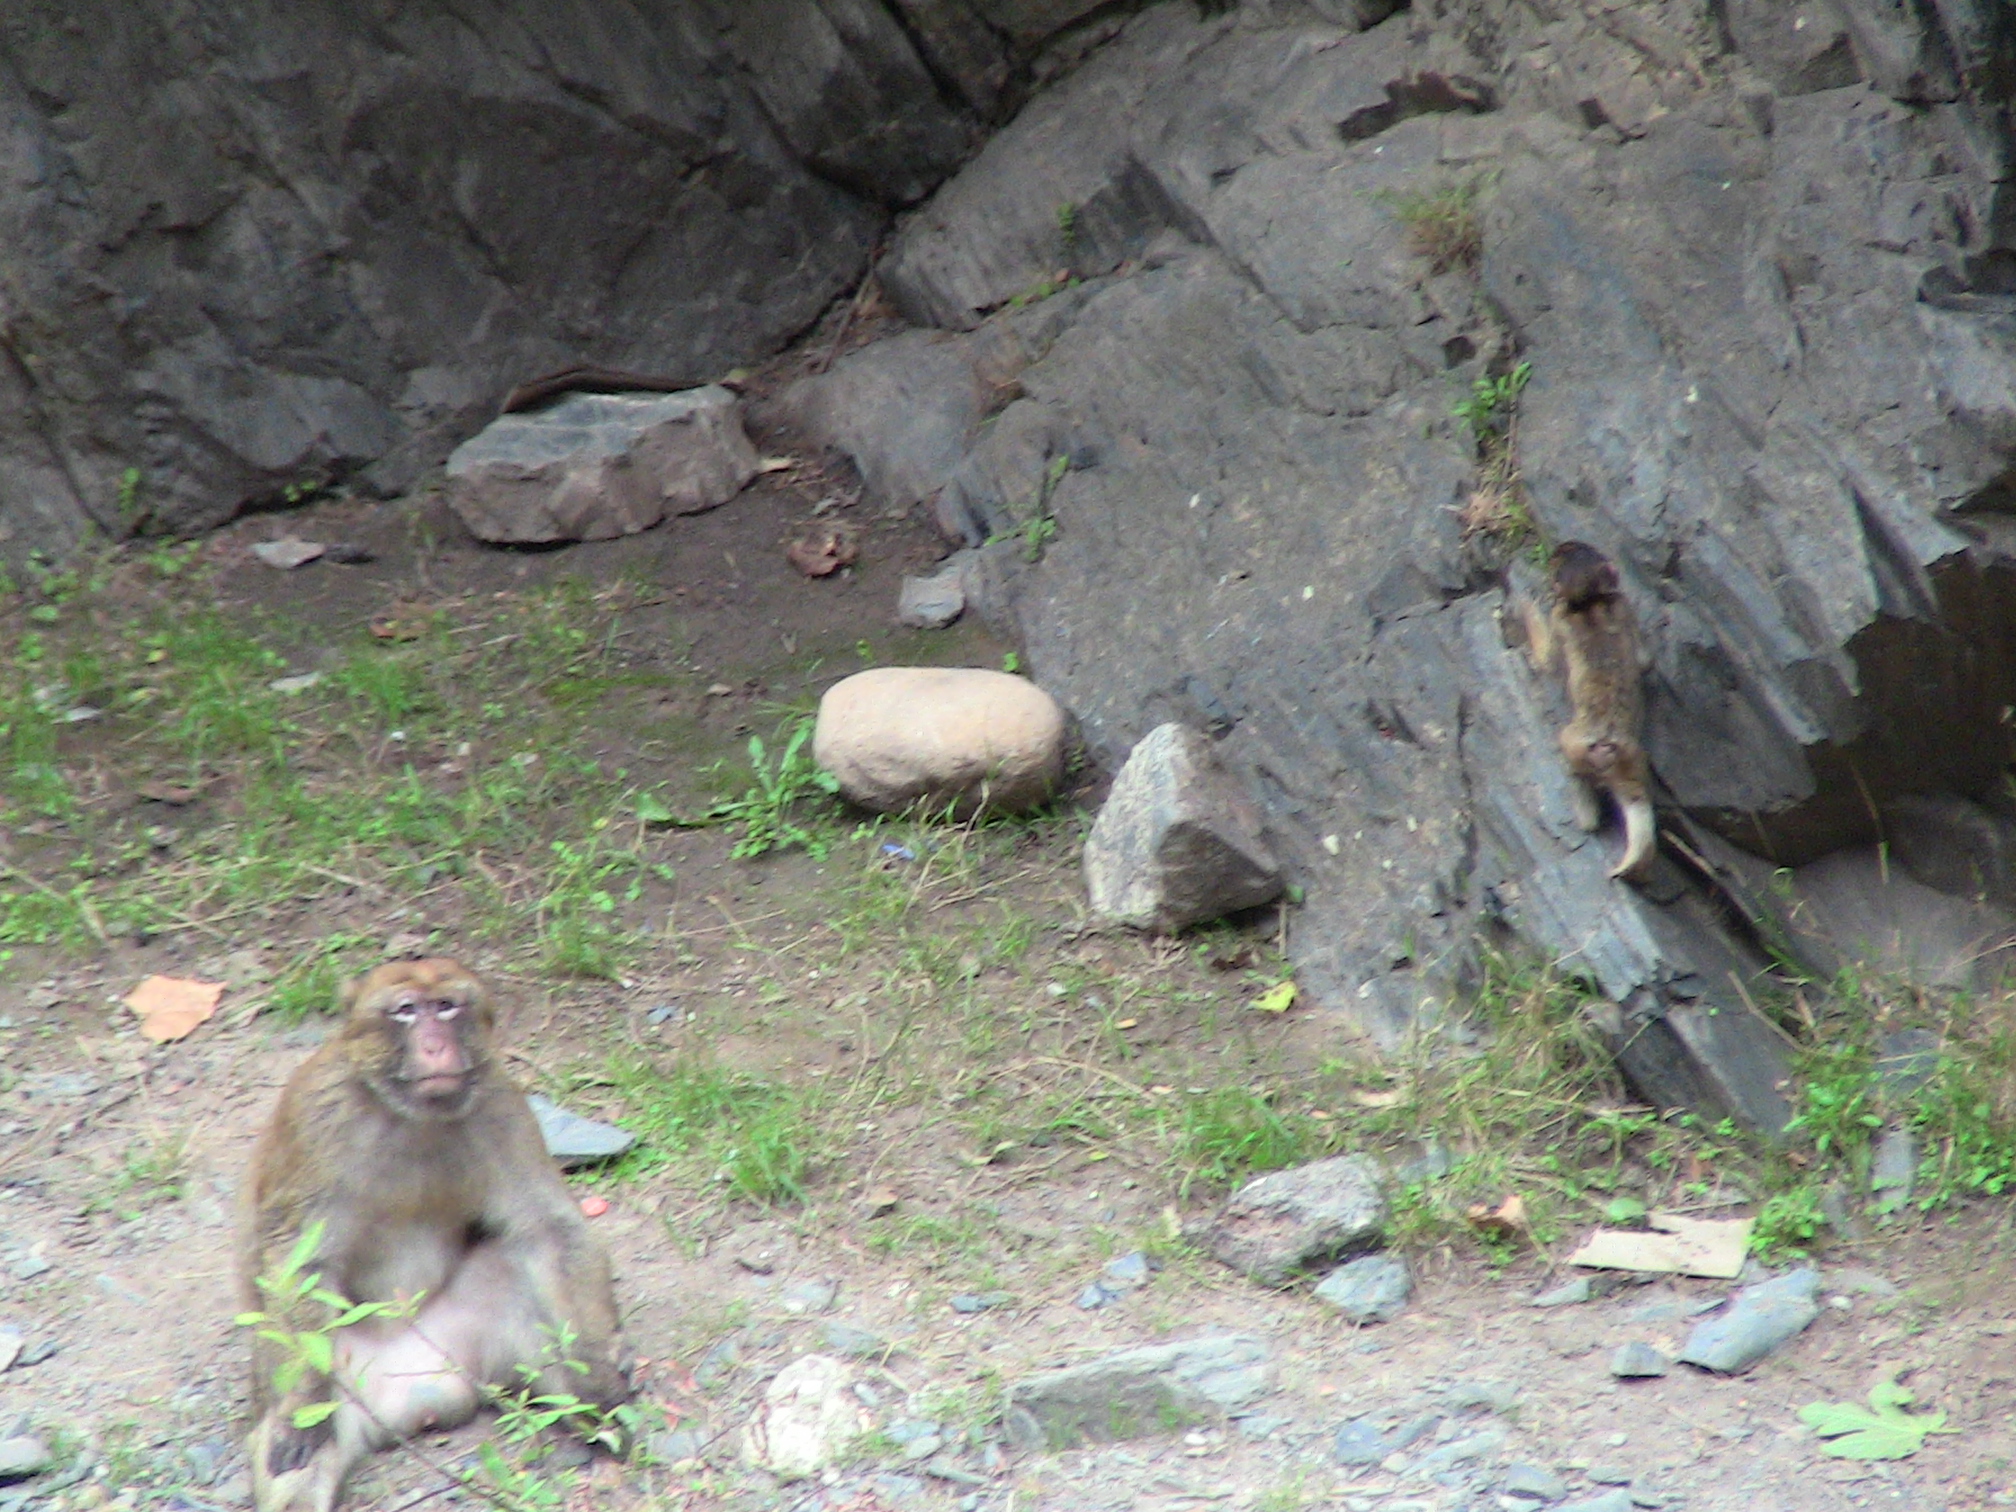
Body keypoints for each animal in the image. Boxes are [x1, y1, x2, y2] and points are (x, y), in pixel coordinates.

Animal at [239, 959, 629, 1512]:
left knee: (514, 1267)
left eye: (446, 1006)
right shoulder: (318, 1113)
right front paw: (301, 1406)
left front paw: (597, 1376)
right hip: (341, 1382)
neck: (408, 1115)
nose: (435, 1045)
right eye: (405, 1010)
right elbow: (298, 1258)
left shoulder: (500, 1104)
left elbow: (550, 1229)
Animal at [1516, 540, 1657, 882]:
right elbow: (1645, 660)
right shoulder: (1622, 605)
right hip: (1632, 758)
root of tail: (1607, 742)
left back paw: (1585, 813)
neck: (1590, 602)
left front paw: (1526, 609)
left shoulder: (1560, 618)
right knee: (1637, 801)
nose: (1560, 546)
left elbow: (1546, 660)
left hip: (1576, 742)